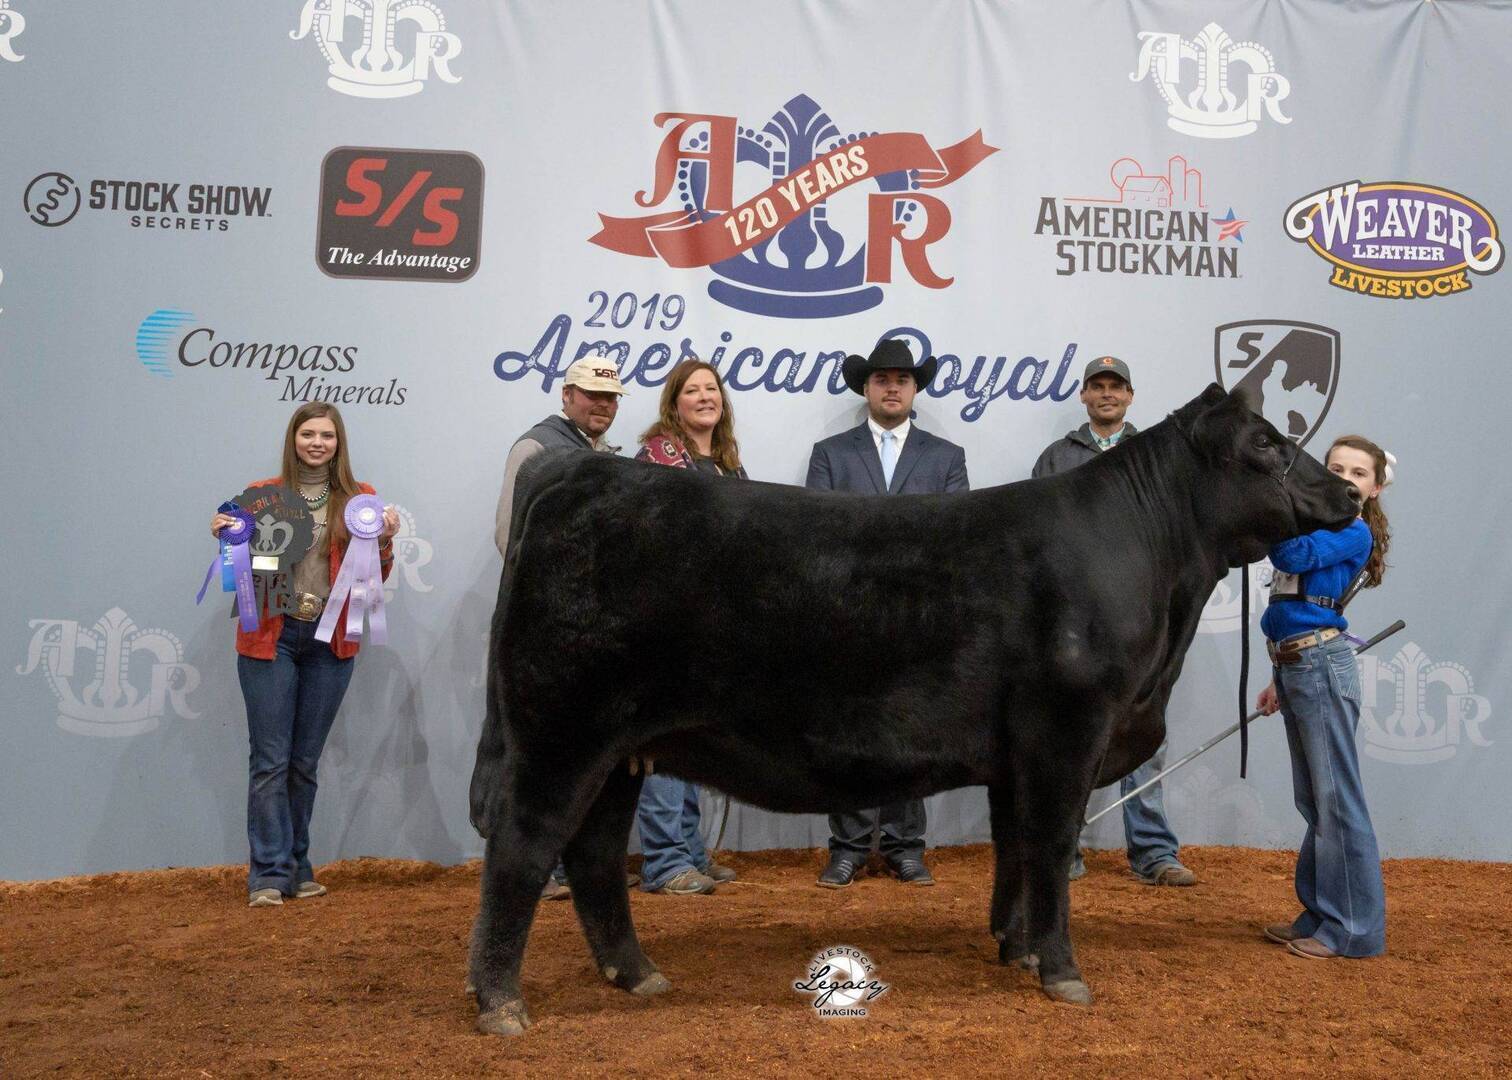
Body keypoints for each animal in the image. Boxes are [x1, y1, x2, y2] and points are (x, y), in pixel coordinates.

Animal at [466, 384, 1362, 1035]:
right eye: (1266, 446)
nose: (1348, 491)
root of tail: (579, 473)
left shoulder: (1018, 752)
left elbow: (1015, 850)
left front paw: (1016, 950)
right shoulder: (1068, 729)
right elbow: (1050, 846)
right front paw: (1064, 973)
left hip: (620, 750)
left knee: (590, 856)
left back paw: (637, 975)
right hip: (560, 733)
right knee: (523, 848)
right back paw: (501, 1003)